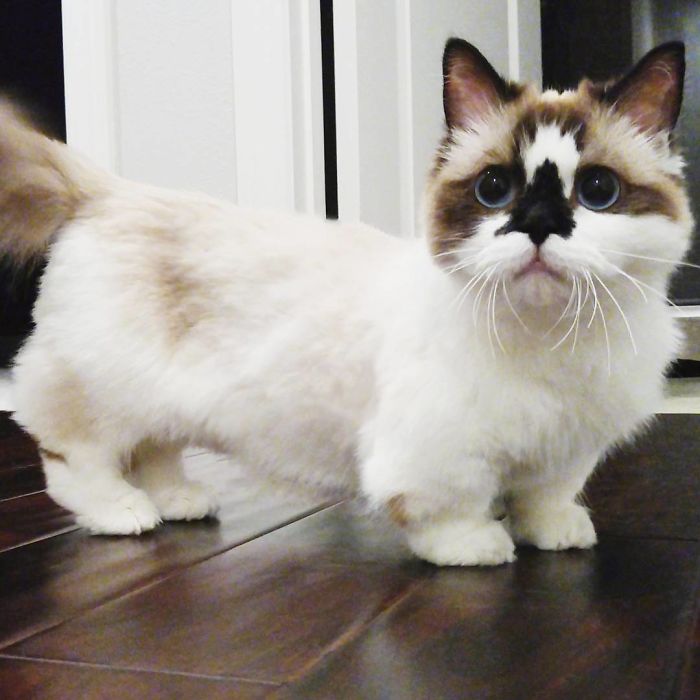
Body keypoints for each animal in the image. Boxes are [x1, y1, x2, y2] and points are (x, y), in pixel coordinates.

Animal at [6, 38, 696, 568]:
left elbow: (545, 499)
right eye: (494, 189)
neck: (551, 338)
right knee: (70, 456)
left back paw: (181, 502)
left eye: (598, 190)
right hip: (104, 389)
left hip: (162, 400)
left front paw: (556, 536)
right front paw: (476, 549)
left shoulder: (568, 447)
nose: (538, 227)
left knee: (156, 450)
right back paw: (124, 514)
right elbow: (451, 508)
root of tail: (109, 192)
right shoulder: (439, 451)